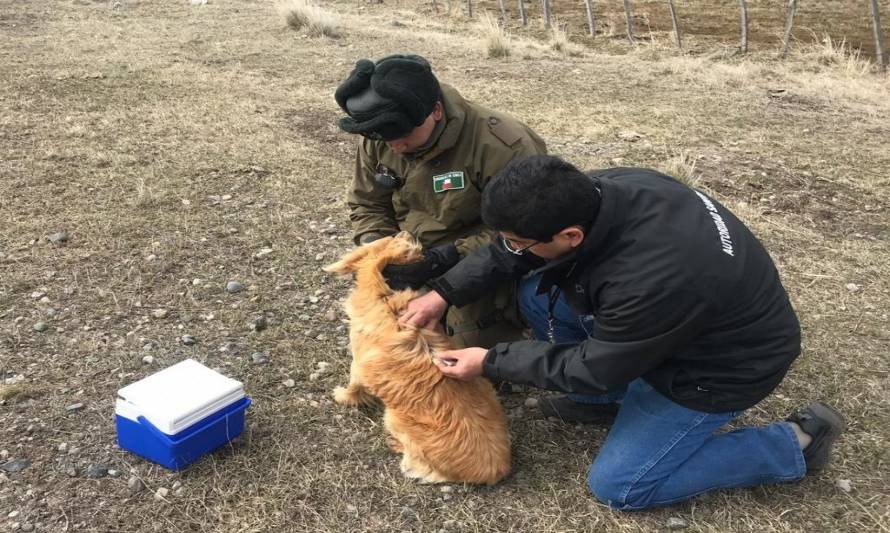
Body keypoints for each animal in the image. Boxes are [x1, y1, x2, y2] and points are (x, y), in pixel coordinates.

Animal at [324, 232, 506, 482]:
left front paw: (342, 396)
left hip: (393, 418)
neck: (384, 297)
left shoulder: (358, 365)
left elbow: (353, 387)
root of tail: (497, 470)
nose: (405, 232)